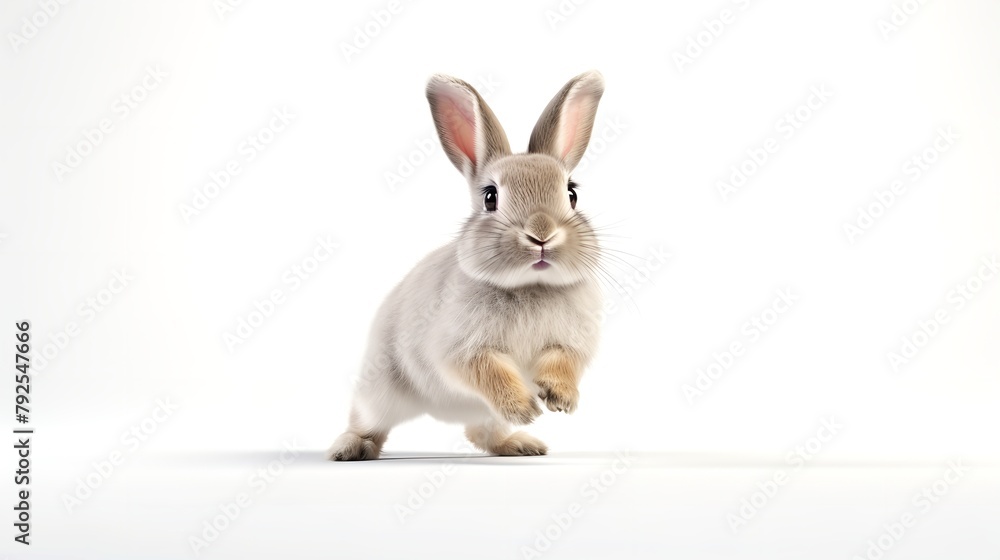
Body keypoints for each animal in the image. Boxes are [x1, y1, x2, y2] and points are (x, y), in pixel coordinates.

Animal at [327, 71, 607, 460]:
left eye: (571, 193)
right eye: (491, 197)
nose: (541, 235)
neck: (530, 285)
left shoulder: (569, 345)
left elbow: (562, 364)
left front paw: (560, 399)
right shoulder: (459, 350)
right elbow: (487, 372)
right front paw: (526, 407)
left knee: (481, 433)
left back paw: (521, 444)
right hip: (380, 392)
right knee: (368, 422)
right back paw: (349, 449)